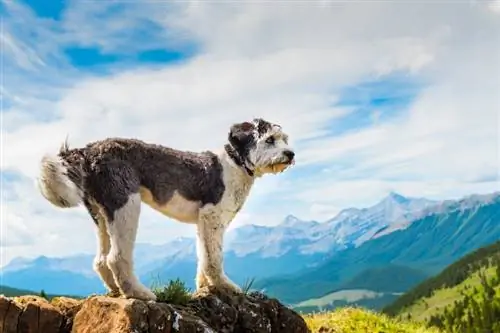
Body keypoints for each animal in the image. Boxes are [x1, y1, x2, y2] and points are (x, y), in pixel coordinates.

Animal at [37, 118, 294, 300]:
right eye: (269, 139)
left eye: (285, 139)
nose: (290, 154)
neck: (235, 163)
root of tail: (88, 150)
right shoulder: (212, 216)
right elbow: (214, 257)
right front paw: (225, 286)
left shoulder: (206, 222)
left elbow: (204, 254)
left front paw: (205, 286)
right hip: (126, 204)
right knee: (116, 257)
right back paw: (139, 293)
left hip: (100, 212)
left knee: (101, 260)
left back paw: (117, 290)